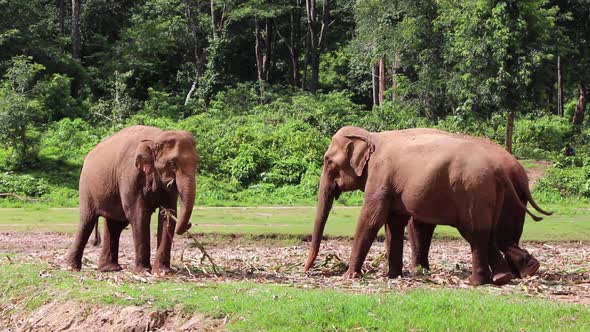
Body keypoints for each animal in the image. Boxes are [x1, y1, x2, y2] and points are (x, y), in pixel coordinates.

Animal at [64, 126, 199, 274]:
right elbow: (138, 214)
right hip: (86, 186)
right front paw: (143, 271)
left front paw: (163, 272)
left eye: (197, 162)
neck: (156, 138)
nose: (189, 224)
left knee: (115, 225)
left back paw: (109, 269)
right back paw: (72, 267)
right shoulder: (130, 175)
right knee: (87, 221)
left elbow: (168, 215)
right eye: (173, 163)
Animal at [306, 126, 532, 286]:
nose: (307, 271)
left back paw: (478, 282)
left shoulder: (380, 175)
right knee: (486, 232)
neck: (371, 136)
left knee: (475, 232)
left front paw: (349, 276)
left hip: (473, 192)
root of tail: (498, 171)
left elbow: (371, 218)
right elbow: (394, 222)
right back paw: (509, 275)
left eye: (328, 161)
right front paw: (393, 276)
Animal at [408, 131, 556, 278]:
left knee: (496, 232)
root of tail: (519, 173)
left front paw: (419, 271)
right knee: (507, 232)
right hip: (515, 195)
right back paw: (524, 269)